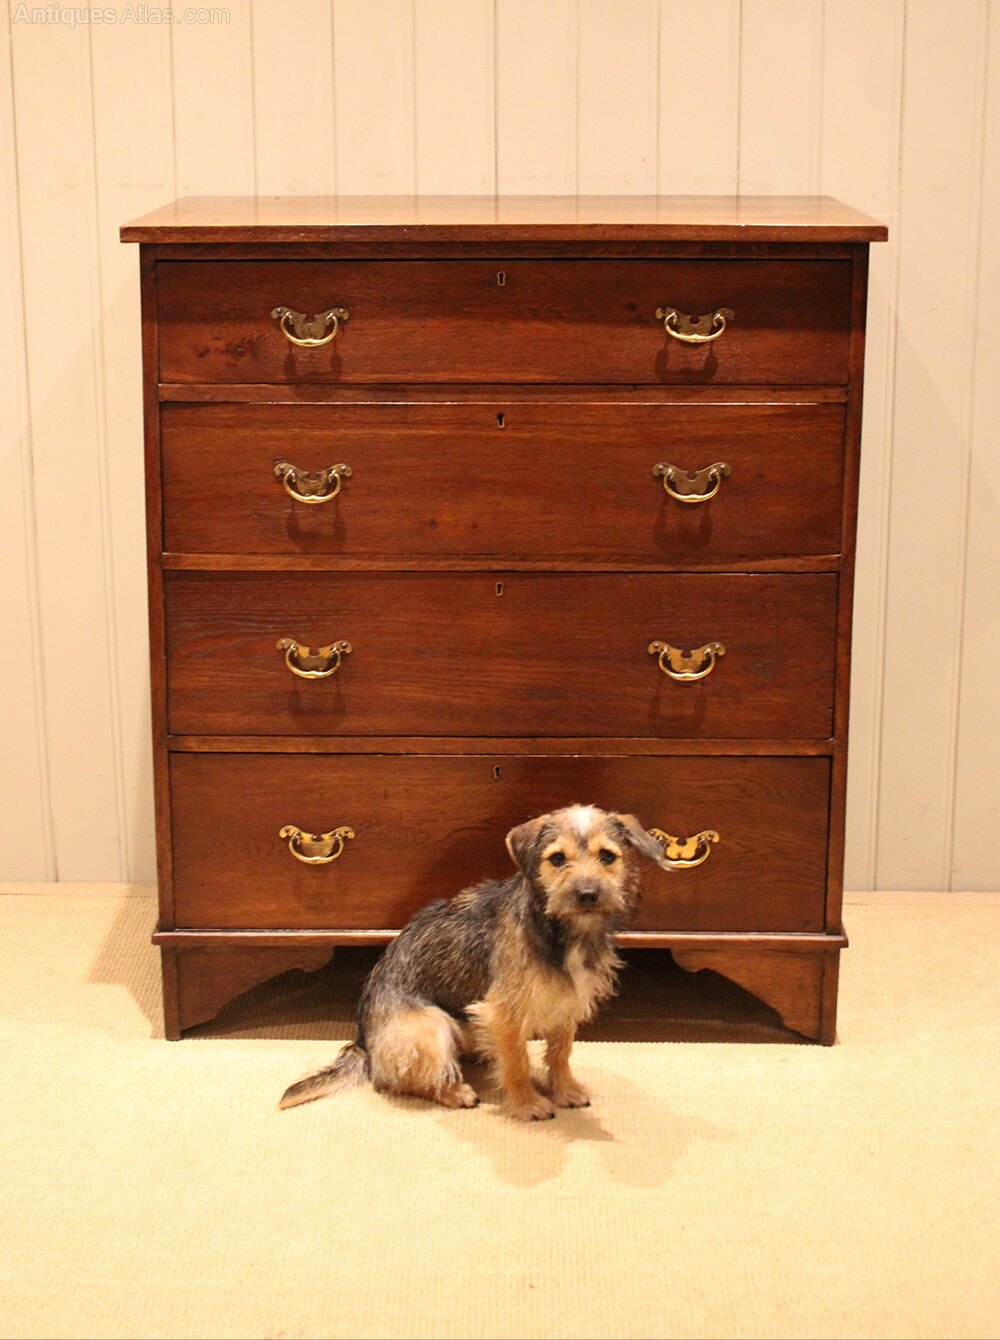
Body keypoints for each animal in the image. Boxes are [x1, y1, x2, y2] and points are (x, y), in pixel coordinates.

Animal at [279, 805, 673, 1120]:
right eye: (558, 859)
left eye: (607, 856)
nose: (588, 894)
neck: (562, 931)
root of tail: (364, 1043)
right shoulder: (503, 1012)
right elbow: (516, 1060)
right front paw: (527, 1103)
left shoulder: (566, 1002)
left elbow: (561, 1053)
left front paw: (564, 1090)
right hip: (428, 1026)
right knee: (401, 1080)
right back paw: (455, 1092)